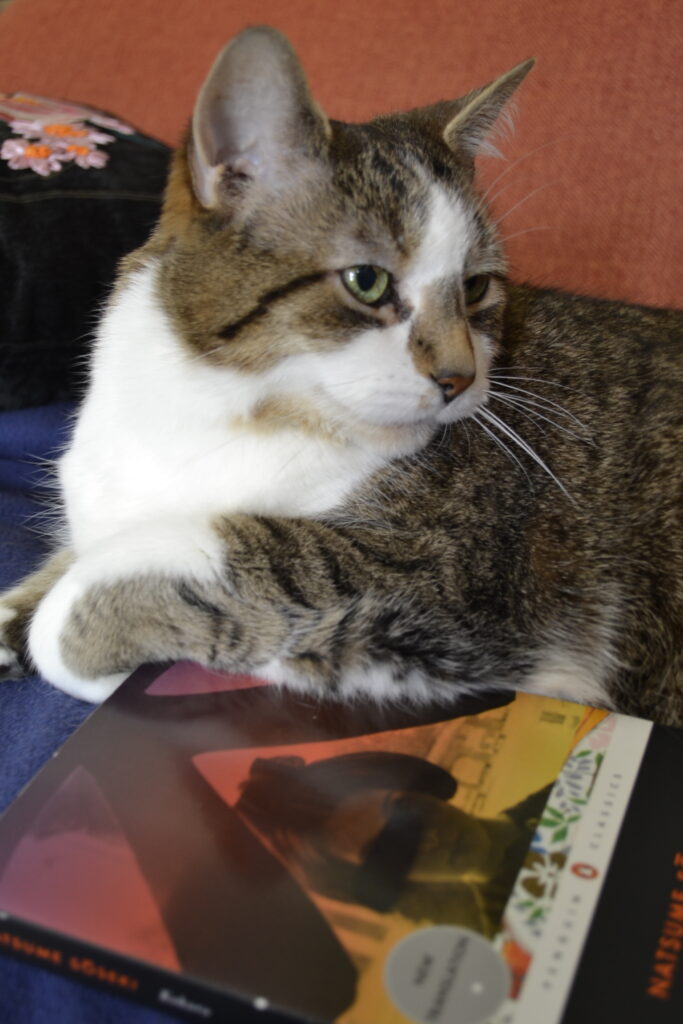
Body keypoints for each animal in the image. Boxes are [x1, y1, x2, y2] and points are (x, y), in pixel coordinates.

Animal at [1, 28, 683, 724]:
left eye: (474, 287)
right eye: (367, 280)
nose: (460, 377)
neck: (223, 409)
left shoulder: (436, 579)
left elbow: (147, 578)